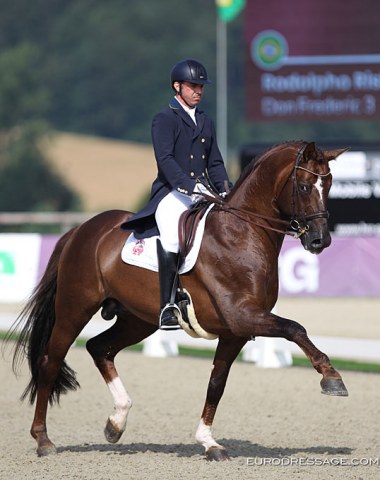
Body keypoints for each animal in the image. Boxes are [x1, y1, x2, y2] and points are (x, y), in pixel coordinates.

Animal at [7, 140, 348, 462]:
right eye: (304, 186)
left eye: (329, 185)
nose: (320, 240)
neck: (242, 232)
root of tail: (80, 230)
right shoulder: (242, 314)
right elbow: (295, 328)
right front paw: (332, 378)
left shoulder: (235, 331)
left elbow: (217, 383)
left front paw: (209, 443)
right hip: (73, 310)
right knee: (50, 363)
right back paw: (44, 440)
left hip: (137, 320)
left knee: (99, 348)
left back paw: (116, 422)